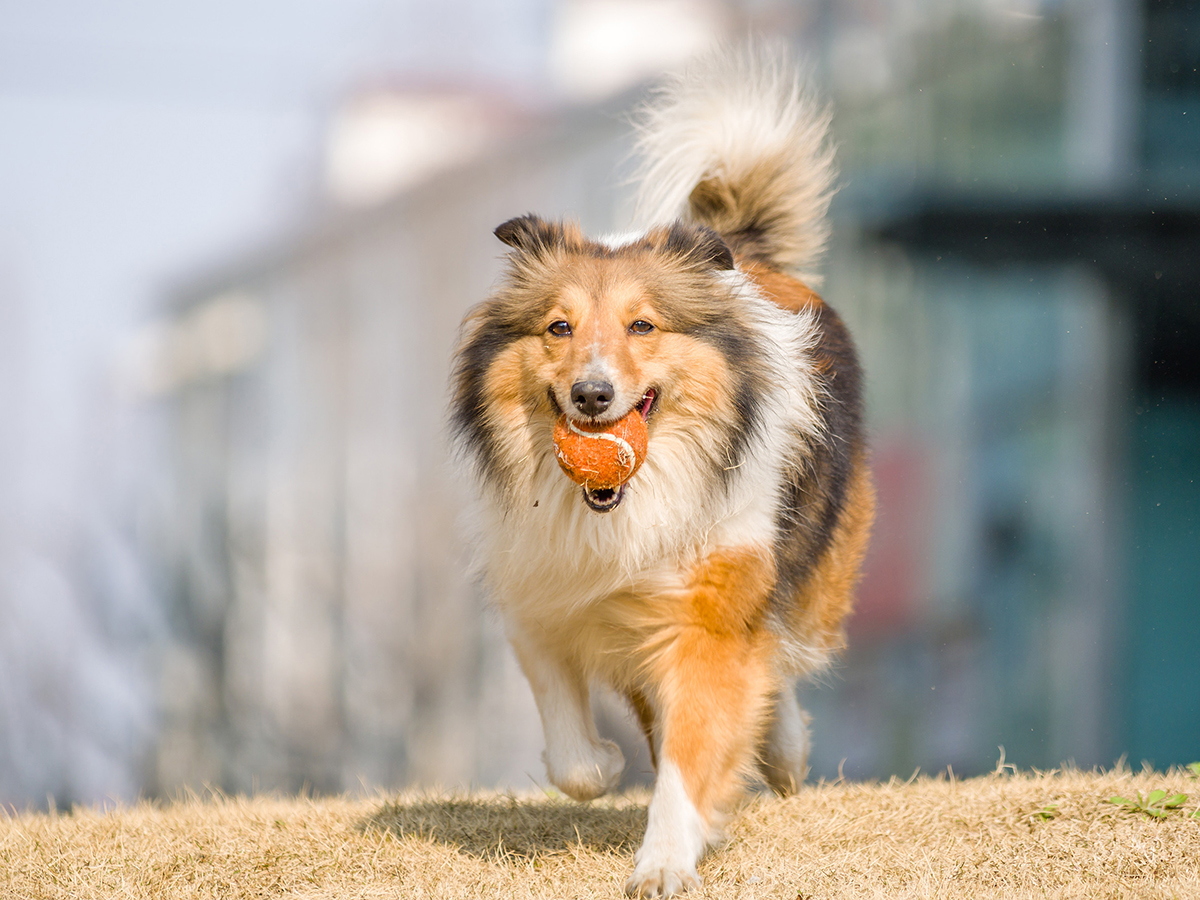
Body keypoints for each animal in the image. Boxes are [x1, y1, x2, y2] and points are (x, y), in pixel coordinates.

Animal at [451, 45, 873, 897]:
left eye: (643, 325)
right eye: (558, 327)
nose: (592, 395)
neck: (617, 506)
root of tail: (742, 247)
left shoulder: (707, 607)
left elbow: (694, 741)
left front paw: (664, 862)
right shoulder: (537, 588)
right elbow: (573, 755)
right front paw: (604, 762)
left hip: (817, 560)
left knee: (781, 648)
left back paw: (784, 750)